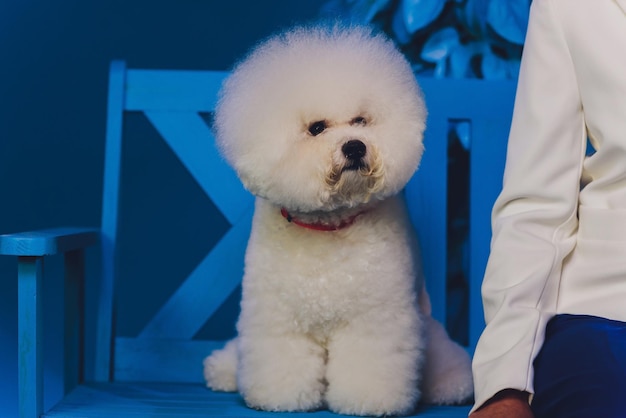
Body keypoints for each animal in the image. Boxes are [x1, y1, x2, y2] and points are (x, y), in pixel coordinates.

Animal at [202, 25, 470, 414]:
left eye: (360, 120)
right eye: (317, 128)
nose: (355, 146)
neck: (327, 225)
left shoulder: (374, 318)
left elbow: (369, 362)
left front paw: (368, 400)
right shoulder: (278, 315)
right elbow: (280, 357)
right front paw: (281, 398)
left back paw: (453, 383)